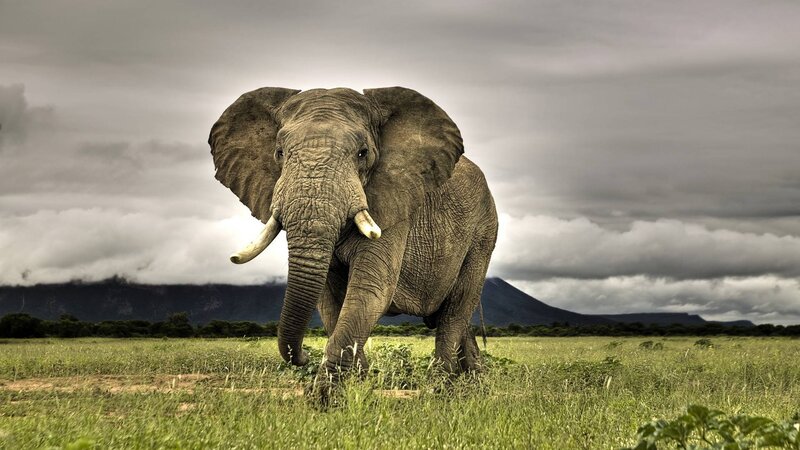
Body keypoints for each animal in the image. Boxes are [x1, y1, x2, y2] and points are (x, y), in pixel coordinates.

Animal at [208, 86, 498, 394]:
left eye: (363, 153)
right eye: (279, 153)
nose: (303, 356)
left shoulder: (394, 204)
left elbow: (370, 290)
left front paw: (326, 397)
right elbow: (329, 301)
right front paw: (358, 385)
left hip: (483, 232)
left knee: (456, 310)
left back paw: (441, 388)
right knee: (455, 318)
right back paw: (473, 383)